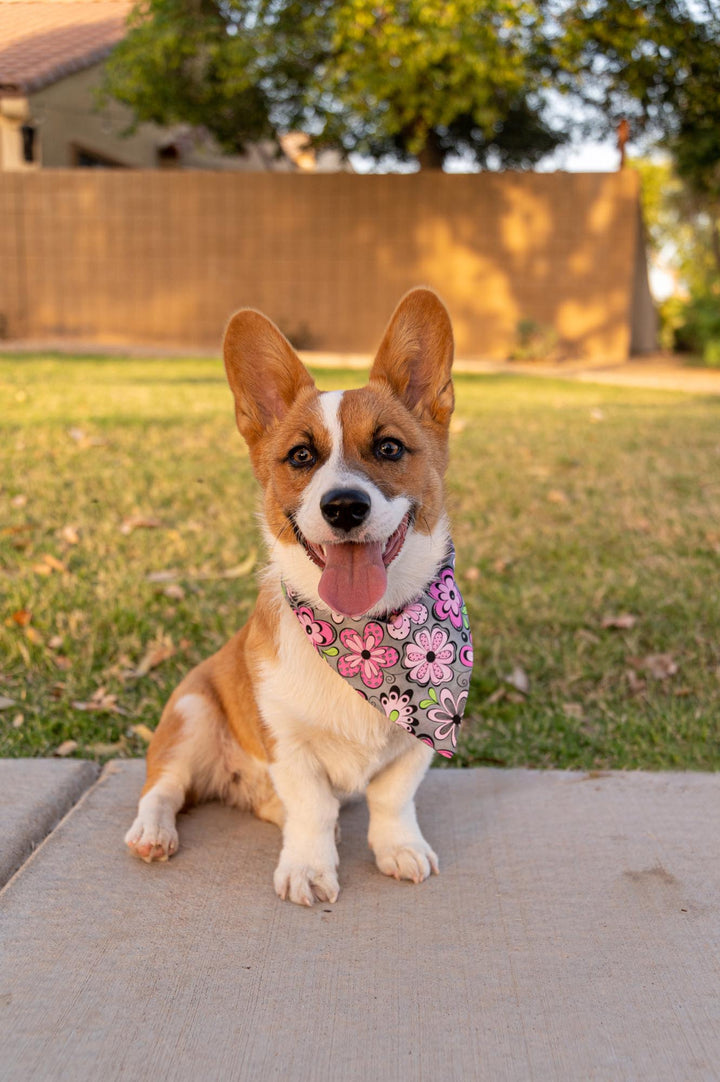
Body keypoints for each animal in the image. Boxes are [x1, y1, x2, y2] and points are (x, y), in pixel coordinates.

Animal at [125, 285, 472, 904]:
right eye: (301, 456)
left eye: (389, 448)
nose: (344, 507)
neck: (363, 636)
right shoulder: (287, 744)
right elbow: (311, 807)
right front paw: (310, 867)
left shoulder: (415, 747)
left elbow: (392, 798)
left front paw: (398, 848)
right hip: (191, 713)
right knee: (164, 785)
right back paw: (152, 832)